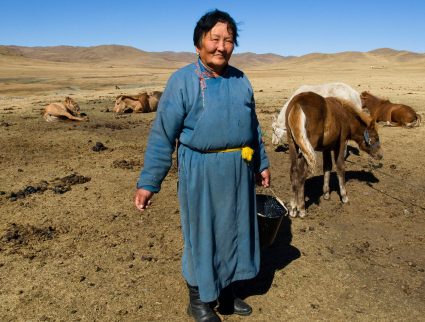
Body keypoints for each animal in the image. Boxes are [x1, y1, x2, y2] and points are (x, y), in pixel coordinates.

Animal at [284, 92, 380, 220]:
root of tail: (297, 104)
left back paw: (293, 209)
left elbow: (327, 167)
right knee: (301, 173)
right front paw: (344, 197)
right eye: (375, 137)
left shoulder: (327, 148)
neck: (345, 116)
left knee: (293, 171)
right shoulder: (341, 143)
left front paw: (326, 193)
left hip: (293, 144)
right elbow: (340, 167)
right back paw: (302, 209)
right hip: (308, 146)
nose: (380, 155)